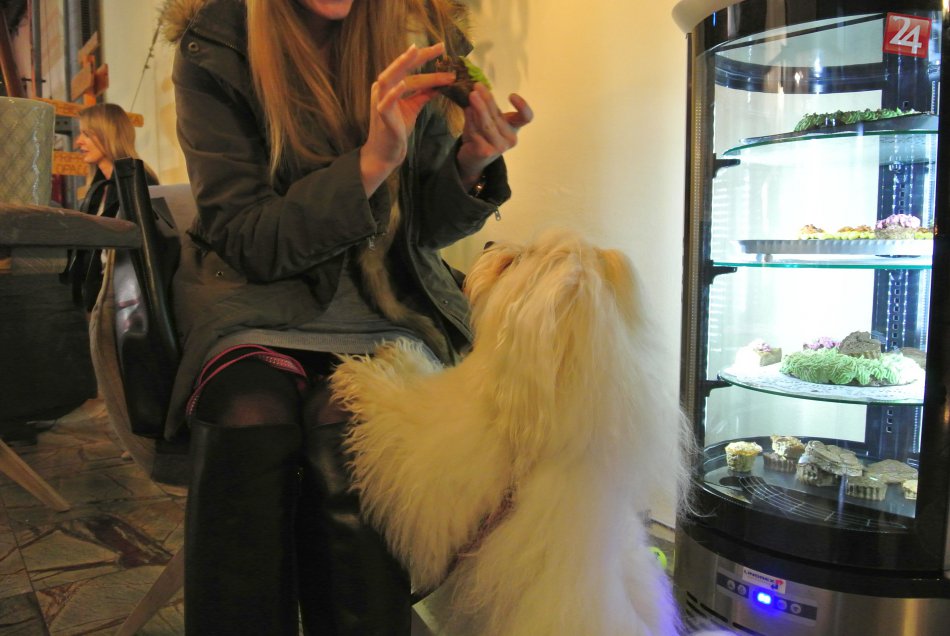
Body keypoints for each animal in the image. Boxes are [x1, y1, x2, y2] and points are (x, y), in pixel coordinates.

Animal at [331, 229, 693, 635]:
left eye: (524, 255)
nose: (489, 244)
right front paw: (397, 354)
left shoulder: (430, 470)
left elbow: (397, 414)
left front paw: (360, 374)